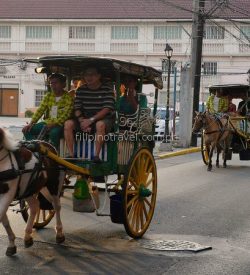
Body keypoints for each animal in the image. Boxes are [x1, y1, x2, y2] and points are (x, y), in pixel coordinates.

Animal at [0, 128, 65, 258]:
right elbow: (4, 219)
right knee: (35, 206)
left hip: (53, 185)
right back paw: (27, 236)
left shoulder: (8, 193)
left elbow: (1, 215)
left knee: (56, 206)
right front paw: (11, 244)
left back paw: (59, 233)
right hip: (30, 190)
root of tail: (50, 147)